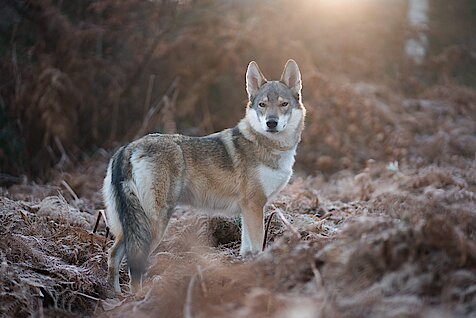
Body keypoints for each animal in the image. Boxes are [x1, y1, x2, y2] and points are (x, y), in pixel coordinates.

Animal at [102, 59, 306, 294]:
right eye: (262, 105)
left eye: (283, 104)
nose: (271, 123)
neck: (269, 146)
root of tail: (128, 147)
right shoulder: (254, 205)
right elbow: (257, 246)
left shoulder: (247, 210)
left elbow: (246, 250)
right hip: (154, 225)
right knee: (133, 265)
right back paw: (138, 297)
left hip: (130, 226)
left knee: (113, 254)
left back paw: (116, 296)